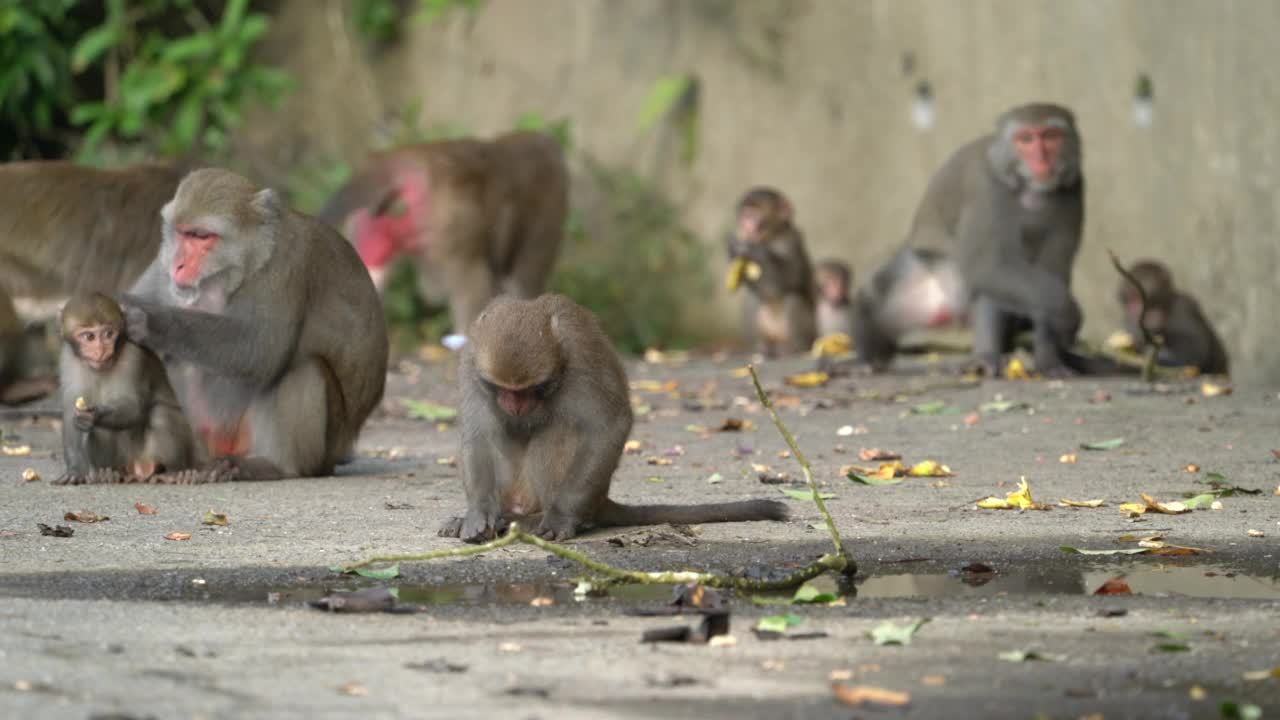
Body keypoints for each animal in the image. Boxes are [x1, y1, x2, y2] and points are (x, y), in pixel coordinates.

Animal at [53, 289, 211, 481]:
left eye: (108, 333)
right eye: (89, 337)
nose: (101, 350)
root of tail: (138, 468)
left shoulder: (132, 355)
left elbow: (134, 407)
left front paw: (95, 414)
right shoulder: (67, 360)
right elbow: (71, 414)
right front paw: (75, 469)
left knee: (161, 413)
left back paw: (173, 472)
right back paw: (109, 473)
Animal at [435, 292, 783, 538]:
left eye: (536, 388)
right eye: (500, 387)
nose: (516, 405)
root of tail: (601, 501)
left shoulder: (581, 351)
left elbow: (607, 425)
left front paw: (560, 517)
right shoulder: (471, 362)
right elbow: (478, 433)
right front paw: (479, 513)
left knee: (559, 429)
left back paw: (546, 520)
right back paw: (502, 516)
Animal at [727, 184, 814, 353]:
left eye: (755, 214)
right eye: (745, 214)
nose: (745, 225)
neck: (771, 237)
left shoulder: (790, 241)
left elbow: (787, 279)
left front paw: (754, 249)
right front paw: (734, 250)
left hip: (809, 332)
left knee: (792, 300)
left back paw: (794, 348)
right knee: (751, 300)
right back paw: (761, 347)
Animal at [855, 105, 1095, 376]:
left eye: (1051, 136)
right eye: (1025, 139)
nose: (1041, 160)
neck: (1028, 189)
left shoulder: (1073, 190)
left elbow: (1053, 272)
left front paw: (1050, 361)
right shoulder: (987, 189)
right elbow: (986, 266)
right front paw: (1067, 315)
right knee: (879, 290)